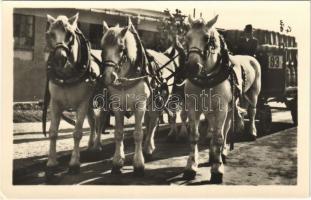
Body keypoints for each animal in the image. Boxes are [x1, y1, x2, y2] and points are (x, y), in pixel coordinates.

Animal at [182, 15, 262, 184]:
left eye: (206, 38)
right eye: (187, 37)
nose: (192, 67)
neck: (206, 78)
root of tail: (250, 58)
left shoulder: (221, 108)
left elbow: (219, 137)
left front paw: (217, 169)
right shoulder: (194, 107)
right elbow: (194, 136)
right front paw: (191, 166)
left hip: (252, 94)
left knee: (249, 113)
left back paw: (249, 133)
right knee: (222, 127)